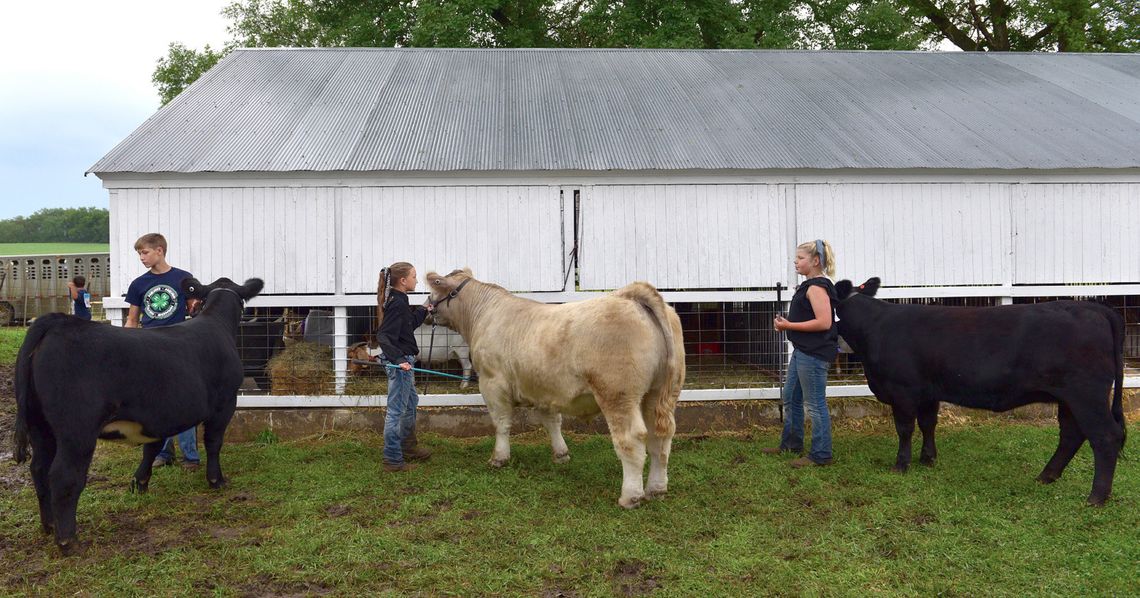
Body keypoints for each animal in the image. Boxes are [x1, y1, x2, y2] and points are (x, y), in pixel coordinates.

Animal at [12, 277, 262, 553]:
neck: (216, 323)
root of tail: (58, 322)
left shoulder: (159, 416)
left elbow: (151, 448)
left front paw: (139, 483)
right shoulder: (225, 402)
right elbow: (214, 443)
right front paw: (216, 480)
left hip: (40, 426)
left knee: (39, 469)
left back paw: (49, 525)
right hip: (77, 430)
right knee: (63, 476)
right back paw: (68, 540)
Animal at [834, 277, 1126, 505]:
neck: (876, 326)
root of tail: (1091, 307)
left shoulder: (902, 391)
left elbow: (905, 429)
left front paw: (900, 465)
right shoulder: (928, 392)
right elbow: (928, 424)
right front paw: (927, 459)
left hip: (1086, 395)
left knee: (1105, 436)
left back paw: (1096, 497)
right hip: (1068, 398)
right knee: (1071, 435)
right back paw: (1047, 476)